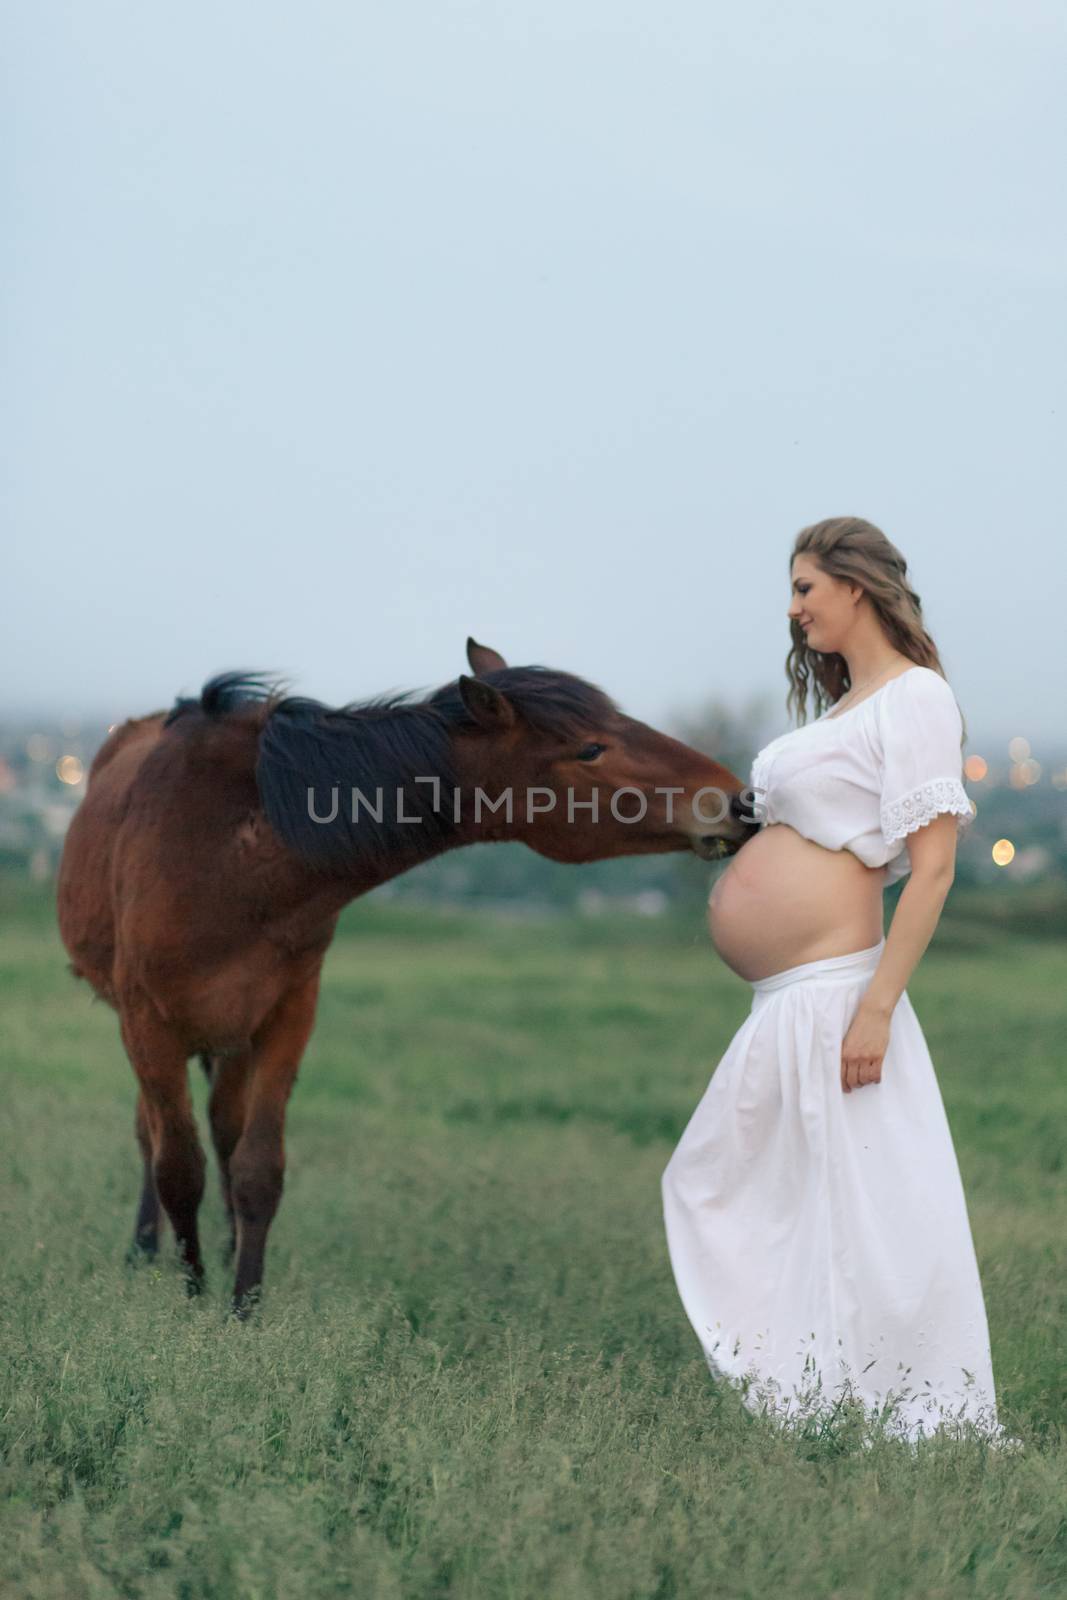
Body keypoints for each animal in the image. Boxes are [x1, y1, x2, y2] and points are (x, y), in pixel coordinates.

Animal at [56, 636, 758, 1312]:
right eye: (590, 747)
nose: (740, 801)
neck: (232, 853)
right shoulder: (150, 1023)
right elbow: (177, 1167)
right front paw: (192, 1300)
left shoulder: (287, 1013)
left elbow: (257, 1167)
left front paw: (243, 1307)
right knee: (153, 1136)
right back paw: (146, 1251)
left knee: (223, 1129)